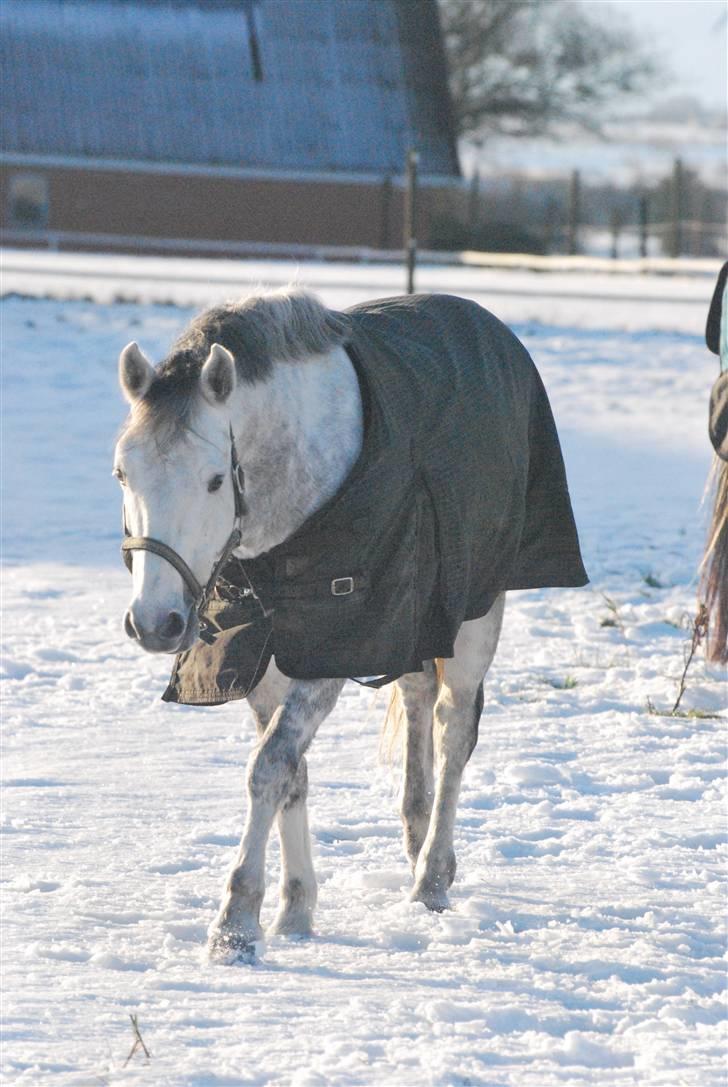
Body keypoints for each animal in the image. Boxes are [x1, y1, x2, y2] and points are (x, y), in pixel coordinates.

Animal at [116, 286, 591, 960]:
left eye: (212, 480)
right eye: (122, 473)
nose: (155, 623)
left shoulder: (333, 649)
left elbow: (268, 767)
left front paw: (236, 923)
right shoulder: (258, 657)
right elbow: (290, 772)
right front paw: (295, 910)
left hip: (477, 610)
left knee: (451, 730)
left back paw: (430, 881)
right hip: (417, 615)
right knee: (417, 699)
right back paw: (417, 844)